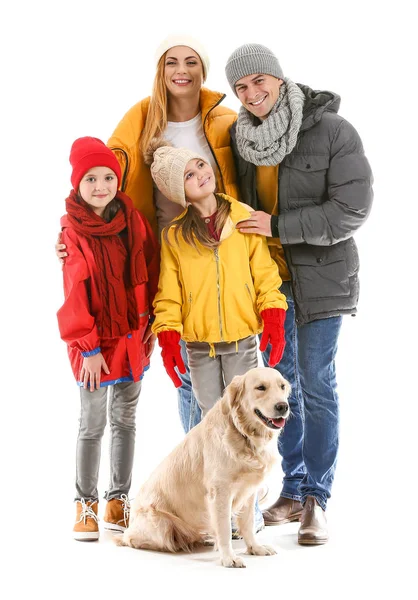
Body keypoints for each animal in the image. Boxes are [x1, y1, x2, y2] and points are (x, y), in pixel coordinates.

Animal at [116, 366, 290, 568]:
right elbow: (224, 528)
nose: (283, 406)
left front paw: (256, 548)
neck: (244, 434)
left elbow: (247, 524)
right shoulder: (220, 492)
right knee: (134, 539)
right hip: (159, 522)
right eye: (260, 387)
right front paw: (228, 557)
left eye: (282, 386)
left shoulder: (249, 491)